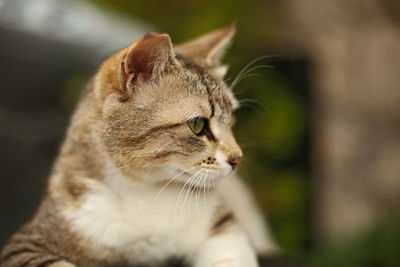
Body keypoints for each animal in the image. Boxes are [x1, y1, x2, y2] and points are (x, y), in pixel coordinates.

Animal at [0, 23, 276, 267]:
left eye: (231, 120)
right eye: (198, 125)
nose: (237, 158)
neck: (145, 189)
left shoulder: (221, 223)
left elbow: (232, 256)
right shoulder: (27, 243)